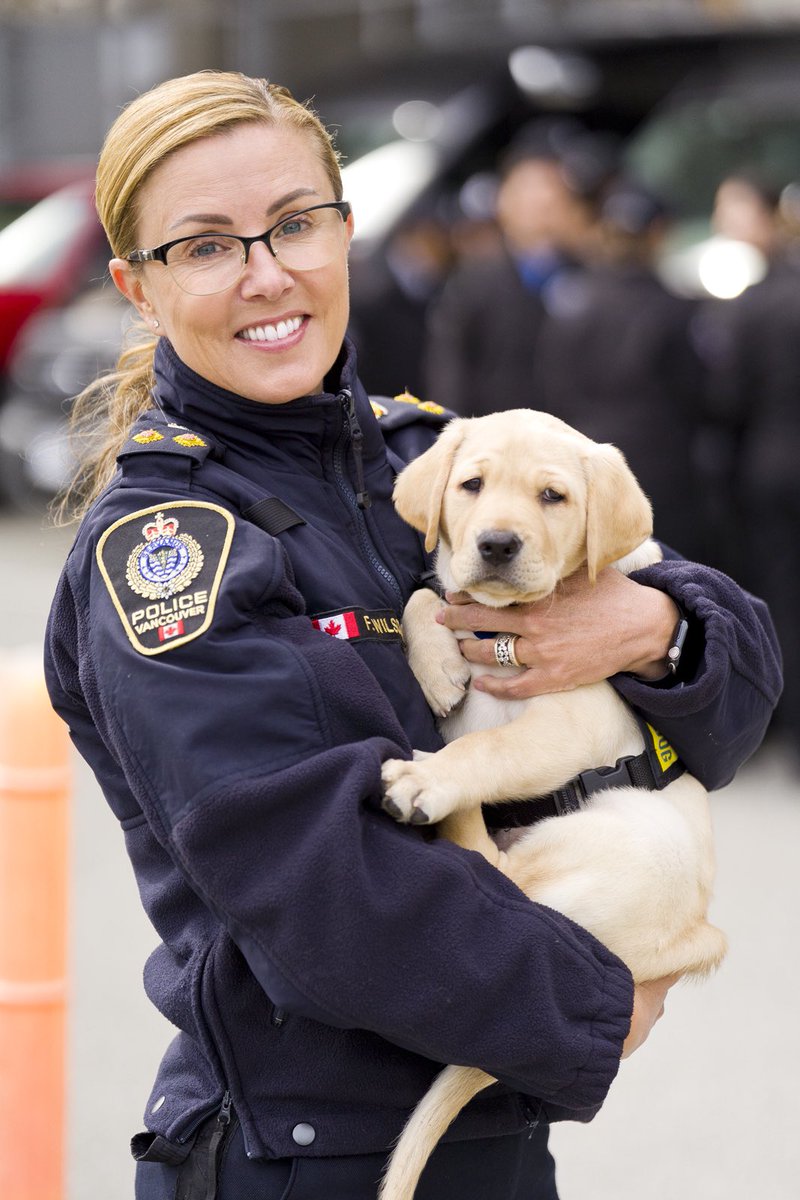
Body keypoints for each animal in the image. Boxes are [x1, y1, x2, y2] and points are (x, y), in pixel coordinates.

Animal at [381, 410, 724, 1200]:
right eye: (471, 486)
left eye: (552, 497)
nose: (496, 544)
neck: (506, 624)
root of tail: (687, 942)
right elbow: (428, 595)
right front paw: (438, 663)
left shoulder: (572, 725)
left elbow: (487, 750)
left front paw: (430, 777)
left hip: (622, 839)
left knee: (500, 873)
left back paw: (433, 789)